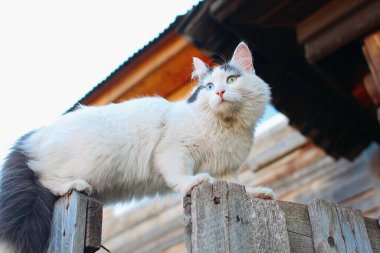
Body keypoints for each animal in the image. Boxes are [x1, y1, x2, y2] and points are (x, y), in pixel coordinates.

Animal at [0, 42, 274, 253]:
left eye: (231, 80)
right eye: (208, 87)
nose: (219, 92)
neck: (226, 127)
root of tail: (35, 133)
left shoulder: (226, 170)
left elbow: (240, 185)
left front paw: (259, 192)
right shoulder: (175, 150)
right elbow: (181, 175)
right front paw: (193, 182)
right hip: (79, 162)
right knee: (45, 178)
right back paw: (74, 185)